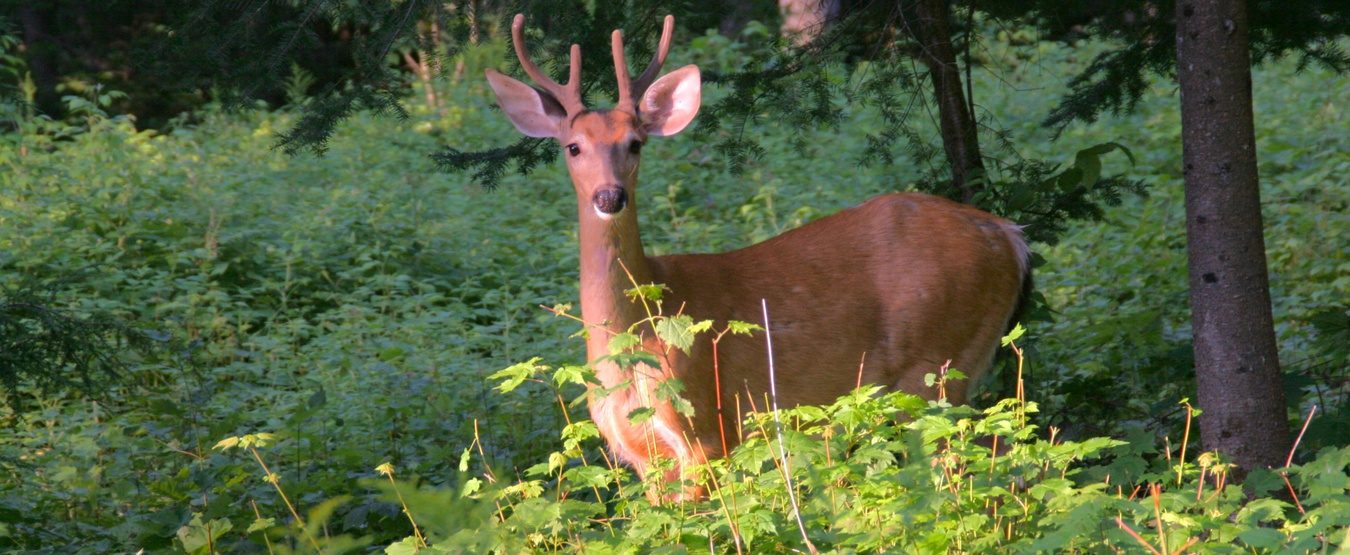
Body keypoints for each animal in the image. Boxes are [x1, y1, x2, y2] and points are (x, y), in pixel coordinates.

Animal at [485, 14, 1031, 499]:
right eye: (573, 146)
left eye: (635, 143)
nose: (609, 196)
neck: (638, 330)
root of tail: (1011, 237)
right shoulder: (640, 453)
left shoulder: (708, 425)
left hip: (937, 365)